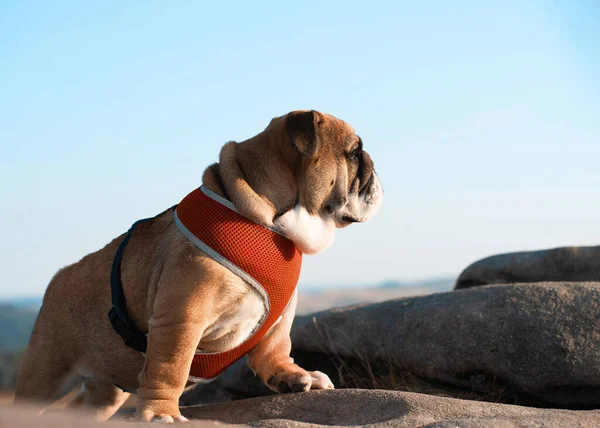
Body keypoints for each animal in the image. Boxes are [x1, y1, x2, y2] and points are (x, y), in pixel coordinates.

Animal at [16, 109, 386, 422]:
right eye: (354, 153)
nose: (372, 163)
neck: (267, 221)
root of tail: (59, 278)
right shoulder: (182, 316)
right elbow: (170, 367)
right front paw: (160, 412)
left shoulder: (283, 312)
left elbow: (275, 346)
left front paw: (294, 375)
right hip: (46, 370)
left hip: (106, 385)